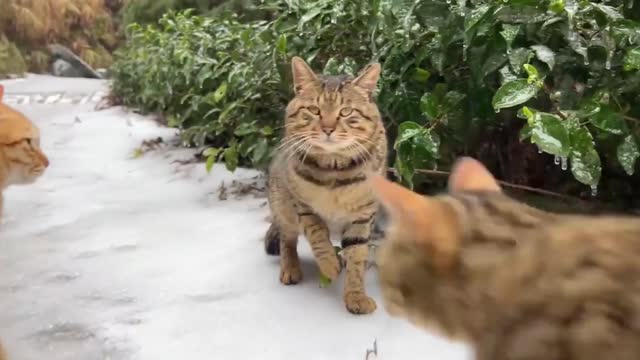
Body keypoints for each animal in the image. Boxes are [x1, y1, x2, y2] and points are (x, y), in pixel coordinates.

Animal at [264, 57, 388, 316]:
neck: (334, 170)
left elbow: (357, 255)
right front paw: (329, 264)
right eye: (314, 110)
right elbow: (318, 235)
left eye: (346, 111)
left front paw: (355, 295)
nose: (328, 128)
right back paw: (291, 267)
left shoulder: (363, 215)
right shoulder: (303, 206)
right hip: (282, 204)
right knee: (287, 238)